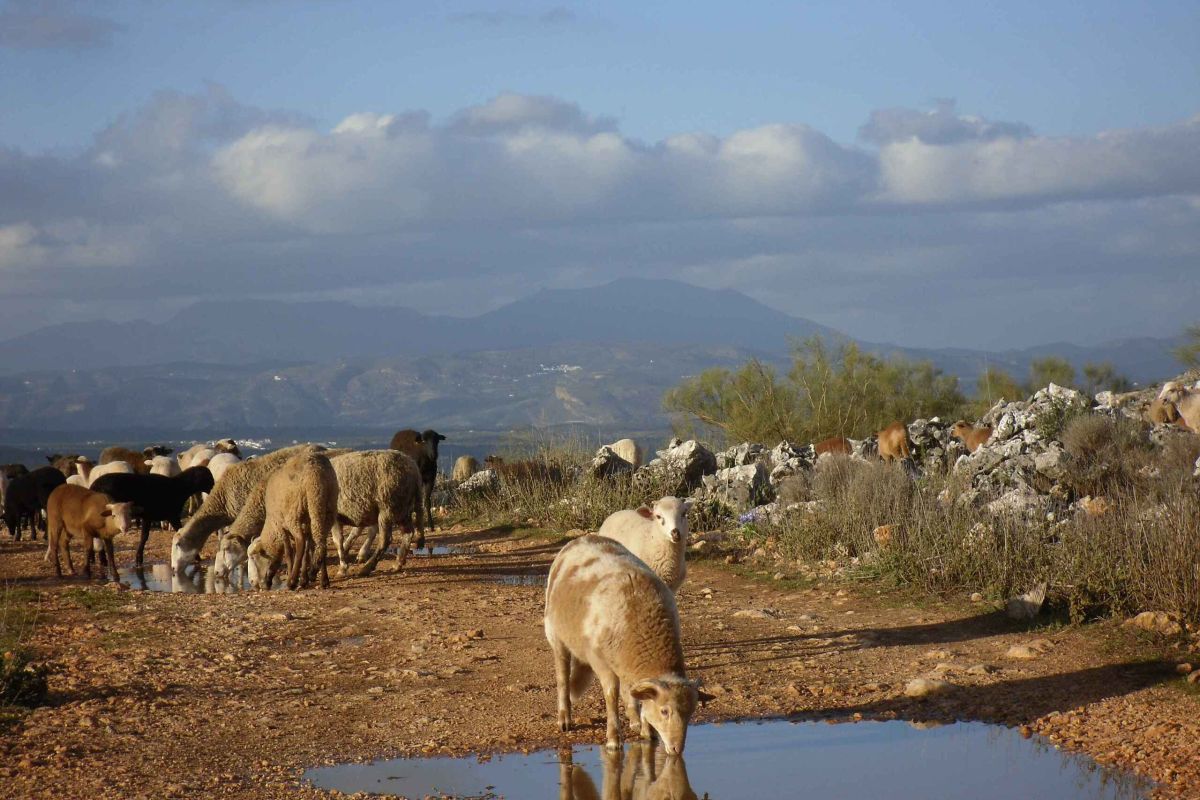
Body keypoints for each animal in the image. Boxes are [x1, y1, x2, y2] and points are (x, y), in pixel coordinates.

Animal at [243, 451, 338, 590]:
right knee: (321, 541)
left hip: (294, 514)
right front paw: (304, 579)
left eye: (253, 558)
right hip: (327, 505)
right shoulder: (306, 524)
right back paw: (321, 578)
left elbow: (289, 552)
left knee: (300, 542)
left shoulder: (280, 525)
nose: (252, 582)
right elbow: (308, 549)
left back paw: (292, 581)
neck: (270, 524)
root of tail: (314, 471)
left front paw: (294, 577)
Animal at [544, 535, 711, 753]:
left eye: (690, 713)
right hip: (556, 636)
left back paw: (635, 721)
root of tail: (584, 537)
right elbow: (611, 695)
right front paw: (613, 739)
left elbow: (637, 696)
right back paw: (564, 718)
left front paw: (647, 731)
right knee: (563, 678)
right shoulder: (600, 661)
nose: (677, 749)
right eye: (664, 711)